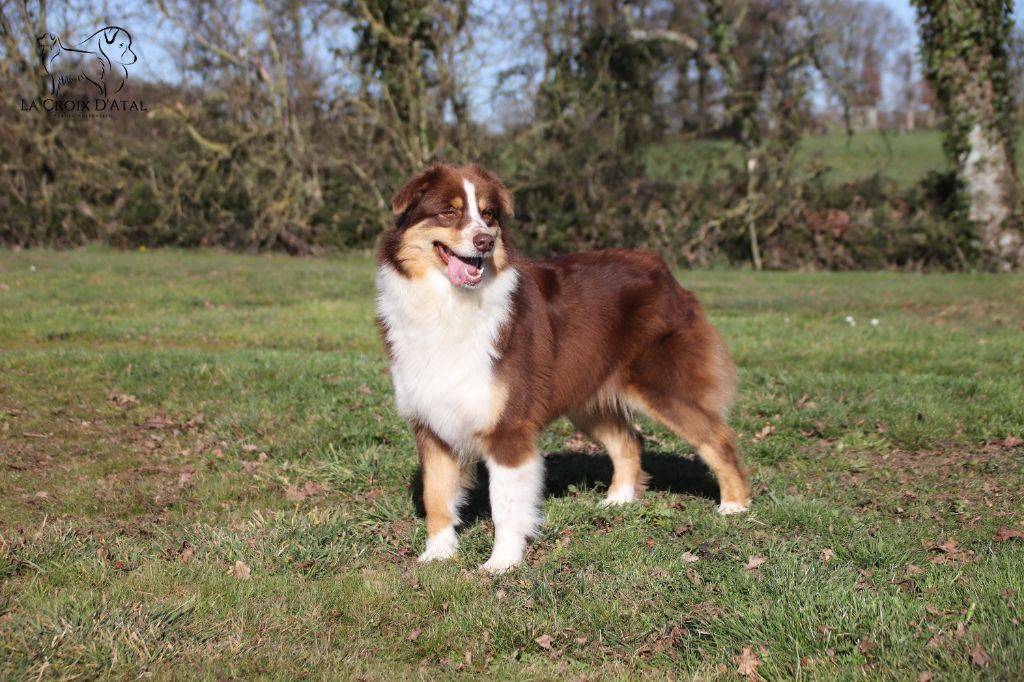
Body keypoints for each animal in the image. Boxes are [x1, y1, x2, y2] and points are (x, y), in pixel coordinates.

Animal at [376, 164, 750, 573]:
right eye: (448, 212)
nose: (484, 242)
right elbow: (436, 496)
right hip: (588, 396)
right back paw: (619, 500)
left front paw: (502, 563)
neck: (449, 303)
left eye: (489, 215)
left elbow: (505, 505)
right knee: (629, 439)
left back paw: (735, 505)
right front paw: (437, 554)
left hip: (664, 387)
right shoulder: (430, 424)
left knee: (718, 438)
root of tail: (659, 267)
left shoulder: (508, 428)